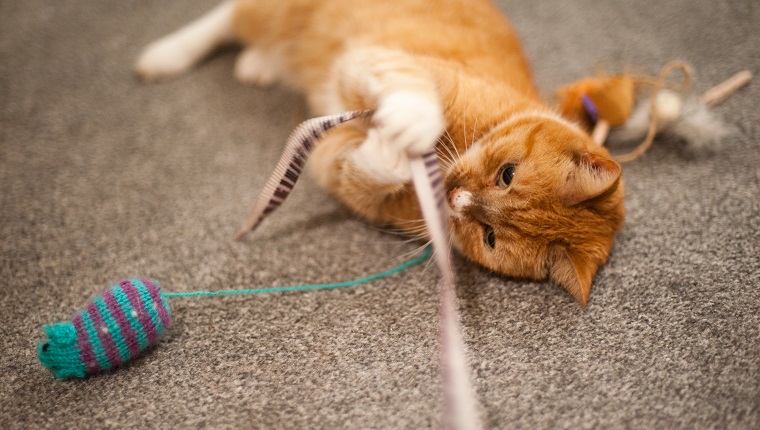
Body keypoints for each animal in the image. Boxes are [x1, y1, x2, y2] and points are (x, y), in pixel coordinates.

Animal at [137, 0, 624, 306]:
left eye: (490, 236)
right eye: (508, 173)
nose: (455, 197)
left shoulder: (333, 160)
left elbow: (365, 170)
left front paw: (389, 151)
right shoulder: (380, 61)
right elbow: (415, 98)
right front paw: (410, 123)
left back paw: (257, 63)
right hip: (280, 12)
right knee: (226, 16)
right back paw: (163, 55)